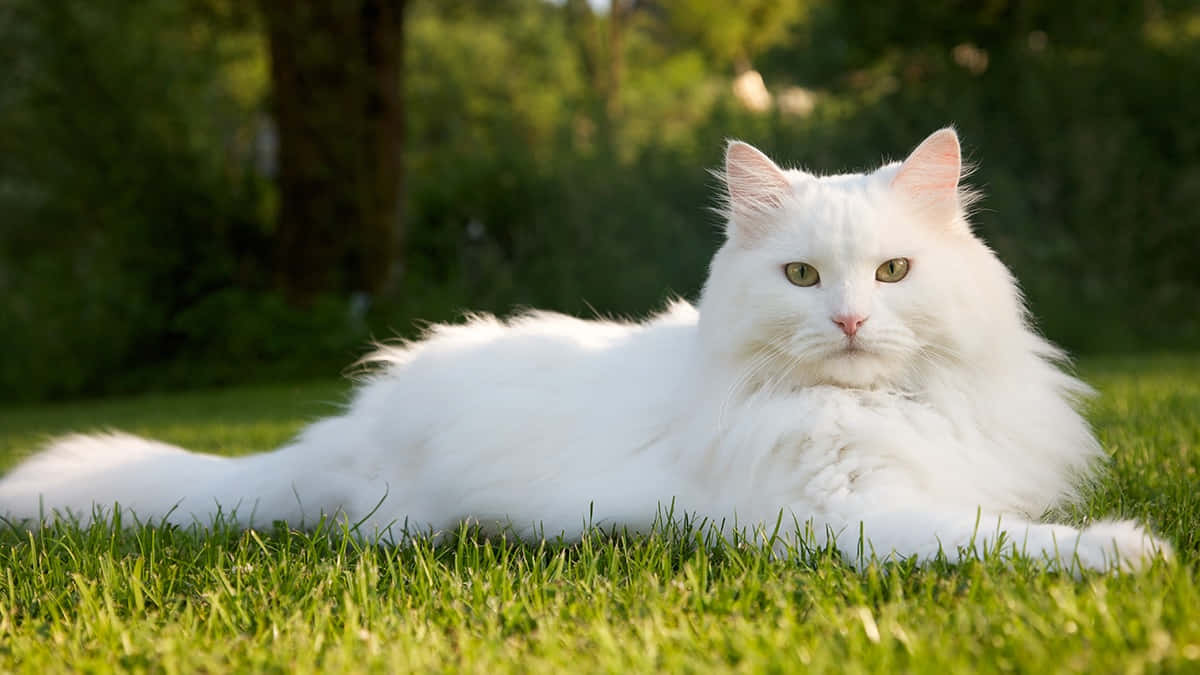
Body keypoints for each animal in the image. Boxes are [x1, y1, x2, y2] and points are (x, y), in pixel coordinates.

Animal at [0, 128, 1166, 569]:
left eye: (890, 275)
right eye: (802, 278)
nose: (846, 322)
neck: (877, 405)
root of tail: (343, 427)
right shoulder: (844, 517)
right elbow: (1000, 539)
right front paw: (1129, 551)